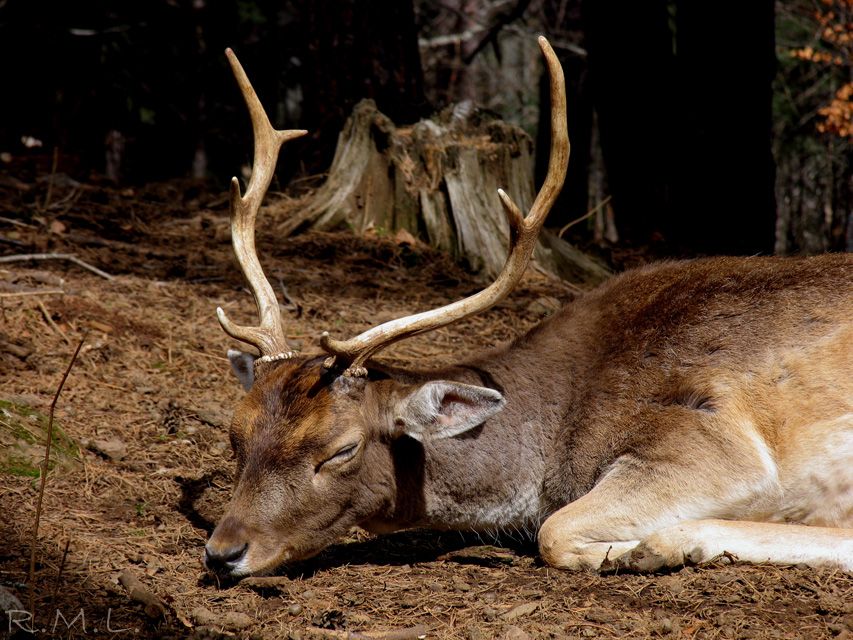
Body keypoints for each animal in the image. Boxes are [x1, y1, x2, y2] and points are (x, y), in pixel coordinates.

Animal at [205, 37, 852, 576]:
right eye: (235, 435)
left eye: (341, 449)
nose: (221, 552)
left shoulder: (708, 440)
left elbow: (554, 531)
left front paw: (629, 550)